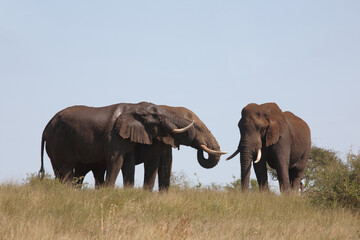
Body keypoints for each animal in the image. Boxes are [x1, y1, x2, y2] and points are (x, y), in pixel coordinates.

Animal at [38, 101, 197, 188]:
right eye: (157, 117)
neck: (133, 107)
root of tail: (45, 129)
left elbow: (128, 162)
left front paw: (128, 191)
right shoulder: (113, 135)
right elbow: (116, 160)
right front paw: (108, 191)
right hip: (58, 142)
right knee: (65, 169)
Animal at [72, 105, 228, 191]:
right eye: (198, 128)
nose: (202, 146)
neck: (168, 108)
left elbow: (166, 164)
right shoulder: (156, 141)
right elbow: (157, 163)